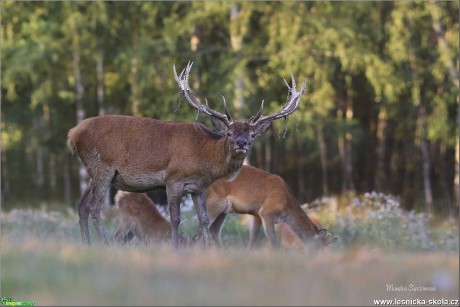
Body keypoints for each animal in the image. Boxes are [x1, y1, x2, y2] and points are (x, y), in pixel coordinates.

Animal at [66, 62, 308, 248]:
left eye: (252, 134)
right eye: (229, 133)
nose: (241, 143)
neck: (206, 158)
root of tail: (73, 133)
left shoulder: (199, 188)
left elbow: (203, 220)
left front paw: (208, 249)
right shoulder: (173, 179)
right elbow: (176, 218)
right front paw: (175, 248)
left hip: (93, 172)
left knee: (81, 205)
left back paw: (87, 244)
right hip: (102, 166)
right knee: (95, 207)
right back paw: (104, 244)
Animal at [205, 166, 338, 250]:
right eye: (317, 247)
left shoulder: (257, 214)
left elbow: (253, 238)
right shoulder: (266, 211)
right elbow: (273, 240)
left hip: (223, 211)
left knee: (214, 231)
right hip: (213, 204)